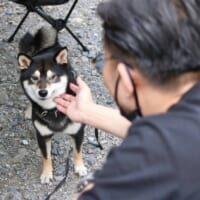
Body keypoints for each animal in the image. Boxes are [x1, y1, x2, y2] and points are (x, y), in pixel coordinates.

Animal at [18, 27, 87, 184]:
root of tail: (47, 47)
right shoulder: (42, 136)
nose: (42, 92)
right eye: (34, 78)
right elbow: (46, 156)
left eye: (53, 77)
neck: (53, 110)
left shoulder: (78, 131)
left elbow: (77, 151)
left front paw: (79, 167)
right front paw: (46, 174)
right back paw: (29, 110)